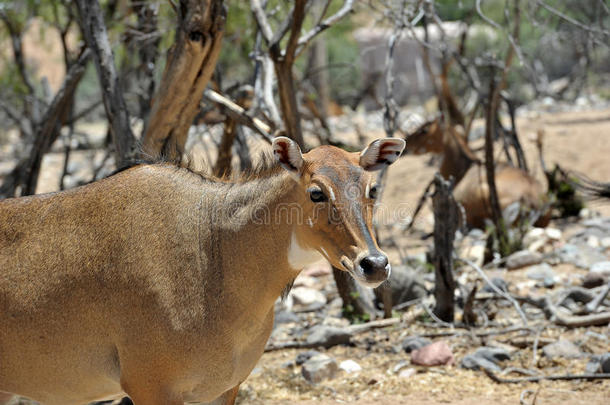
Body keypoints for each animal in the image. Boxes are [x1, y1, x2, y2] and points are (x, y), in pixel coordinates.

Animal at [0, 137, 404, 404]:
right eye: (316, 192)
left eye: (371, 189)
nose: (374, 264)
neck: (214, 251)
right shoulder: (150, 386)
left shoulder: (223, 389)